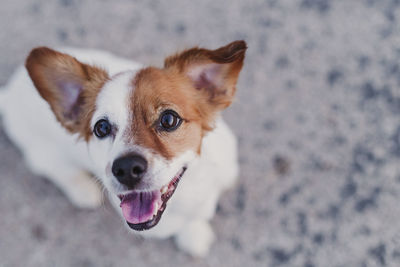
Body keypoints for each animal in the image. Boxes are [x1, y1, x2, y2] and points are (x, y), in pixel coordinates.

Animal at [0, 40, 247, 256]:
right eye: (101, 128)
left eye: (169, 119)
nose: (126, 168)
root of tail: (9, 94)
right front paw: (193, 234)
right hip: (44, 156)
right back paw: (82, 189)